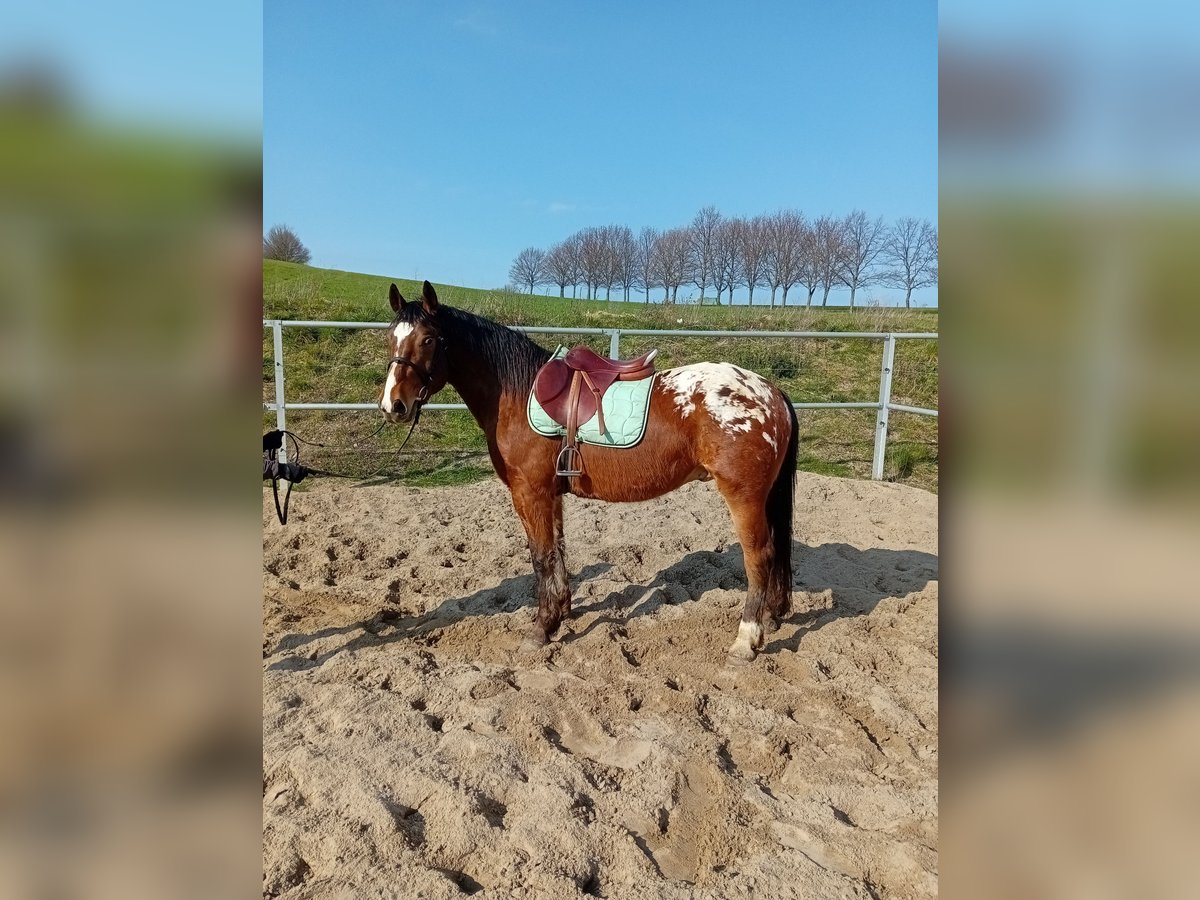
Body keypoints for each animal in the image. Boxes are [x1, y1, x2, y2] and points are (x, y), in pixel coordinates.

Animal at [379, 278, 801, 667]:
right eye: (390, 338)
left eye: (429, 339)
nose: (393, 405)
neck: (516, 392)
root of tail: (771, 391)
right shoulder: (550, 494)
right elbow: (559, 552)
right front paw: (562, 611)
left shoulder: (529, 492)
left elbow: (541, 557)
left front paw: (541, 628)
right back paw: (771, 616)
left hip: (744, 496)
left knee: (759, 556)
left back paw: (745, 641)